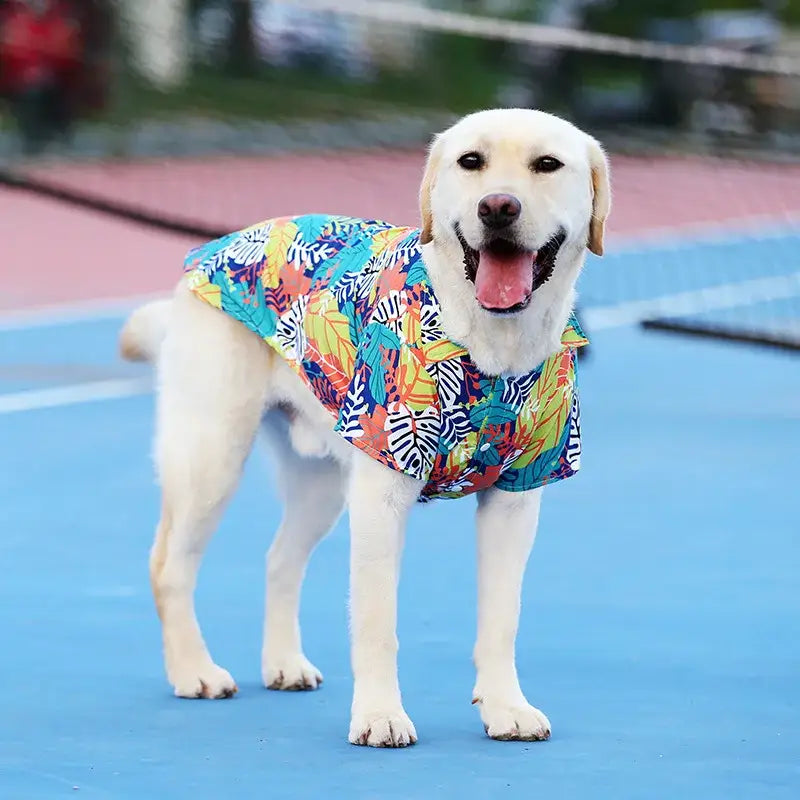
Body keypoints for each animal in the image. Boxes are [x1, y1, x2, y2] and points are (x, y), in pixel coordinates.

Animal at [117, 109, 608, 748]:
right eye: (470, 161)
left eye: (547, 165)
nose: (498, 207)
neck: (487, 348)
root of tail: (215, 249)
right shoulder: (382, 494)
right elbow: (377, 623)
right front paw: (379, 716)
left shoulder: (515, 500)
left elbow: (501, 618)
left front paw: (505, 707)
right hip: (211, 456)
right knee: (168, 566)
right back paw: (194, 670)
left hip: (320, 484)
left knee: (279, 559)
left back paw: (284, 664)